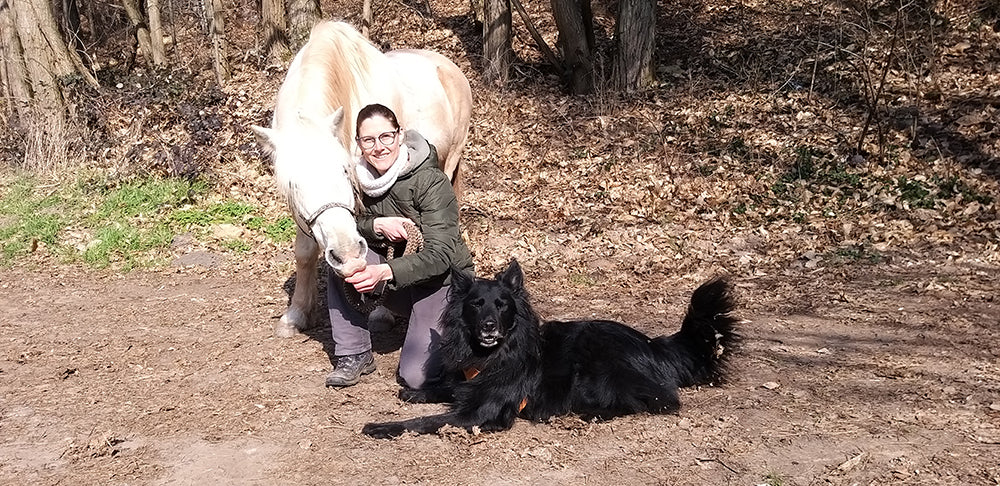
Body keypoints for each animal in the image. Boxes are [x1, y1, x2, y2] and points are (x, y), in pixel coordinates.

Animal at [248, 20, 470, 336]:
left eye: (345, 169)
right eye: (293, 184)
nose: (347, 255)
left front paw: (379, 313)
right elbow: (304, 252)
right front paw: (296, 314)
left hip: (452, 159)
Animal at [364, 260, 740, 438]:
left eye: (502, 305)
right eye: (475, 305)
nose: (489, 326)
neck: (496, 354)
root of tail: (652, 343)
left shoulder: (477, 414)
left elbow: (425, 421)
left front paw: (382, 426)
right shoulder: (469, 386)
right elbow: (448, 389)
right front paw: (415, 393)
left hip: (596, 369)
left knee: (660, 401)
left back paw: (594, 413)